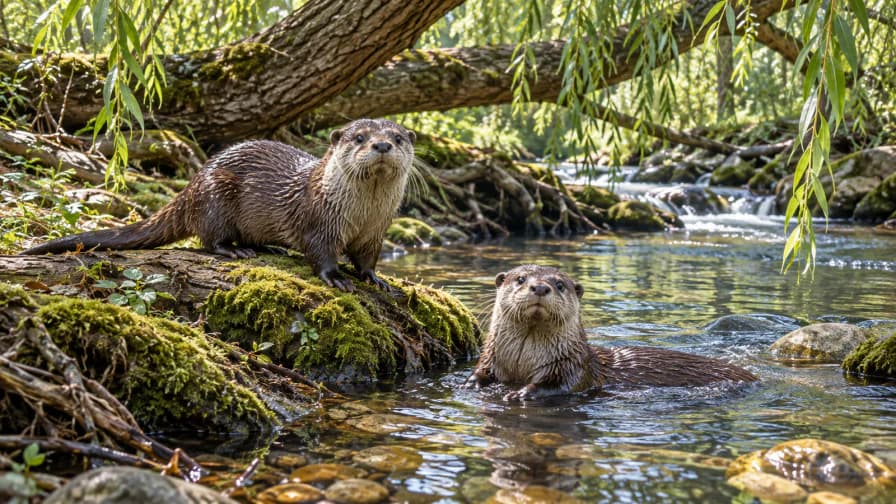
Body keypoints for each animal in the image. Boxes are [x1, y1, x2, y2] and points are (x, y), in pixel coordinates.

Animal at [21, 119, 416, 292]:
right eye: (359, 137)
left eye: (398, 137)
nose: (382, 145)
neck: (361, 215)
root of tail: (194, 182)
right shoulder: (319, 220)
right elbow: (320, 253)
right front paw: (336, 278)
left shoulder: (376, 232)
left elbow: (367, 259)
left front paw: (375, 279)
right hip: (217, 194)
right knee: (209, 240)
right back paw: (235, 251)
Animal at [465, 265, 758, 401]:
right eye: (520, 279)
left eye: (559, 285)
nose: (539, 287)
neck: (522, 362)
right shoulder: (491, 356)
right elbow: (482, 371)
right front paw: (471, 382)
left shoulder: (571, 367)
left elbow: (555, 386)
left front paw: (521, 393)